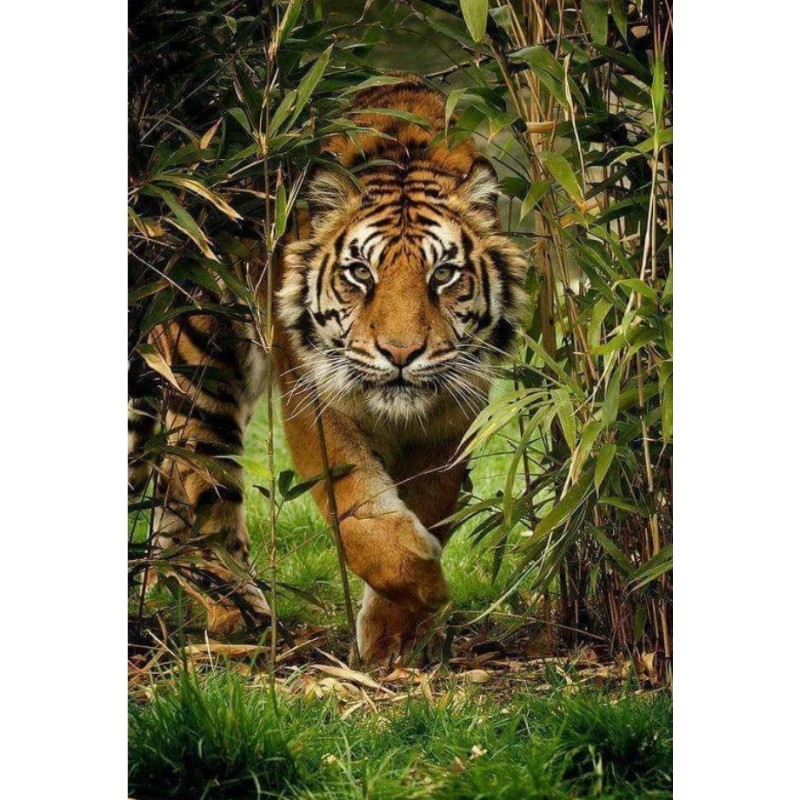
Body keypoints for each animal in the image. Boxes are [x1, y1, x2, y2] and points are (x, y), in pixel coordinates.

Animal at [130, 76, 528, 664]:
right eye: (360, 273)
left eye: (444, 274)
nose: (401, 353)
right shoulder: (314, 396)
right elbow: (356, 508)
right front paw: (424, 585)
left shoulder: (454, 411)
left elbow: (431, 501)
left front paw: (394, 634)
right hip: (201, 364)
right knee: (201, 487)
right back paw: (241, 617)